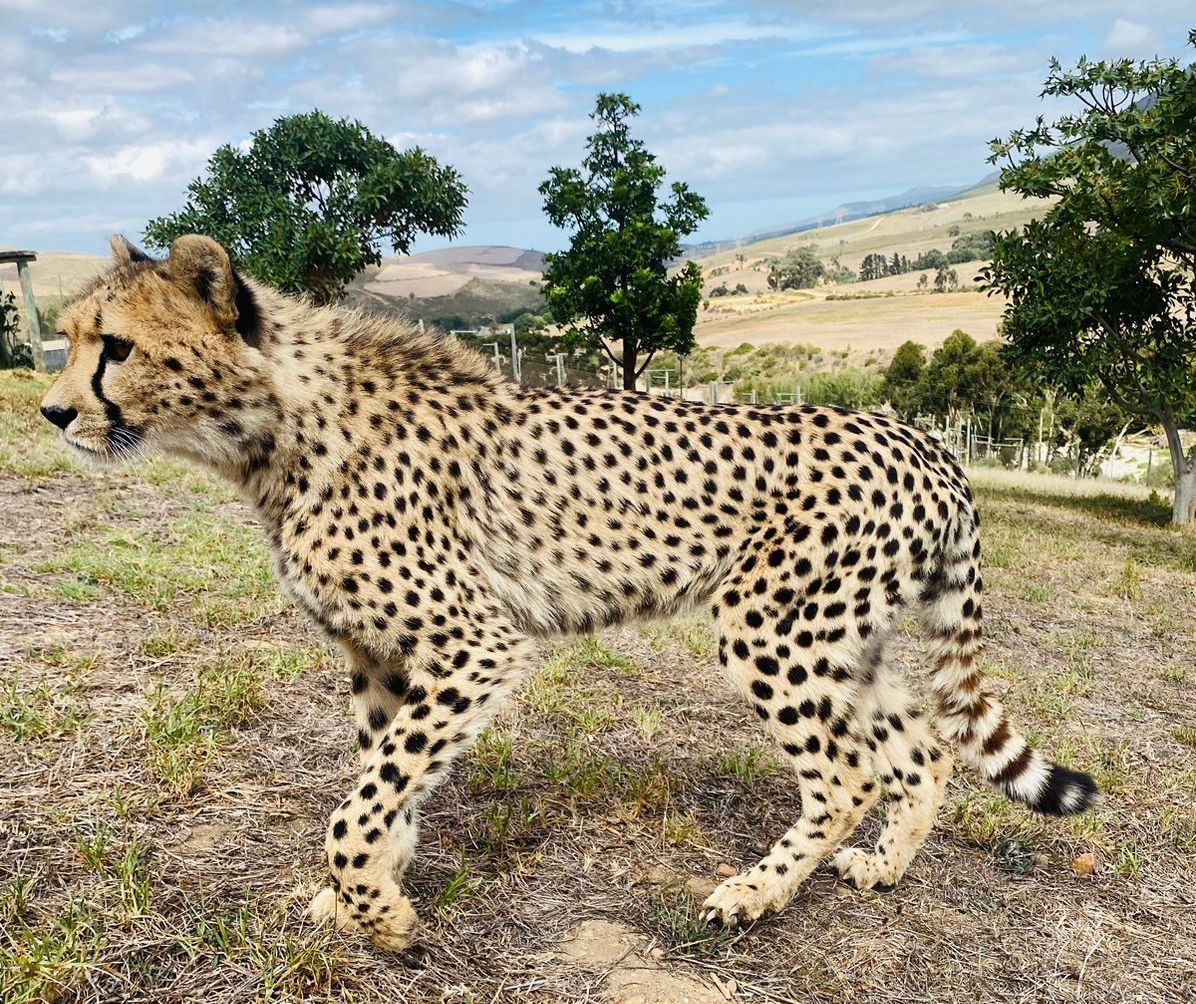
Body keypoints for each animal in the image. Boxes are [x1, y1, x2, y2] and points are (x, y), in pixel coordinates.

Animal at [39, 234, 1098, 951]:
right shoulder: (381, 656)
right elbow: (383, 785)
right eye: (69, 341)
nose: (50, 411)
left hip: (772, 629)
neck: (275, 424)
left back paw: (752, 895)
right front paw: (366, 893)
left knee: (847, 776)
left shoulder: (477, 643)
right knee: (921, 751)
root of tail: (923, 437)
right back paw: (881, 867)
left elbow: (358, 806)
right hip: (846, 640)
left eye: (116, 347)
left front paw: (382, 916)